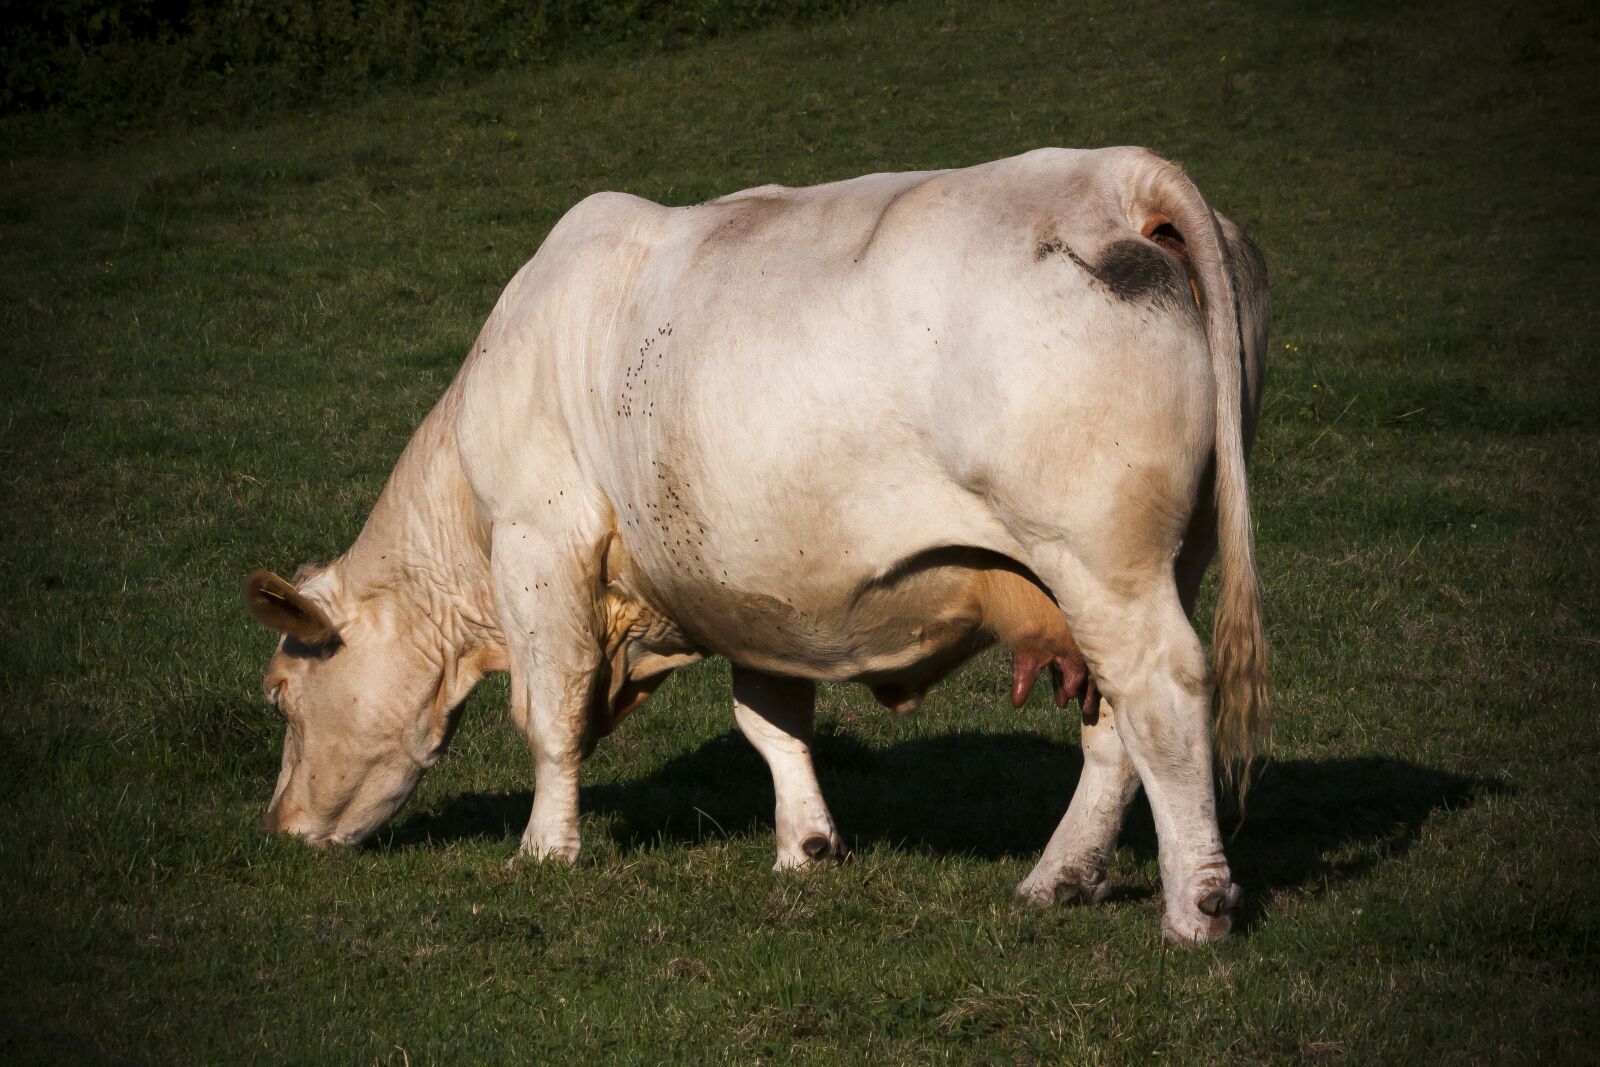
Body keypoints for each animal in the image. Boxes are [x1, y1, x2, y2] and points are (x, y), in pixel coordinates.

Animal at [244, 147, 1269, 943]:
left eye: (281, 692)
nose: (277, 828)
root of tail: (1117, 174)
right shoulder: (762, 592)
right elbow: (770, 721)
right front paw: (807, 846)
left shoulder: (540, 546)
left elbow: (551, 713)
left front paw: (542, 850)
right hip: (1153, 563)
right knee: (1113, 726)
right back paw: (1058, 877)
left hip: (1100, 557)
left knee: (1162, 694)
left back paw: (1196, 908)